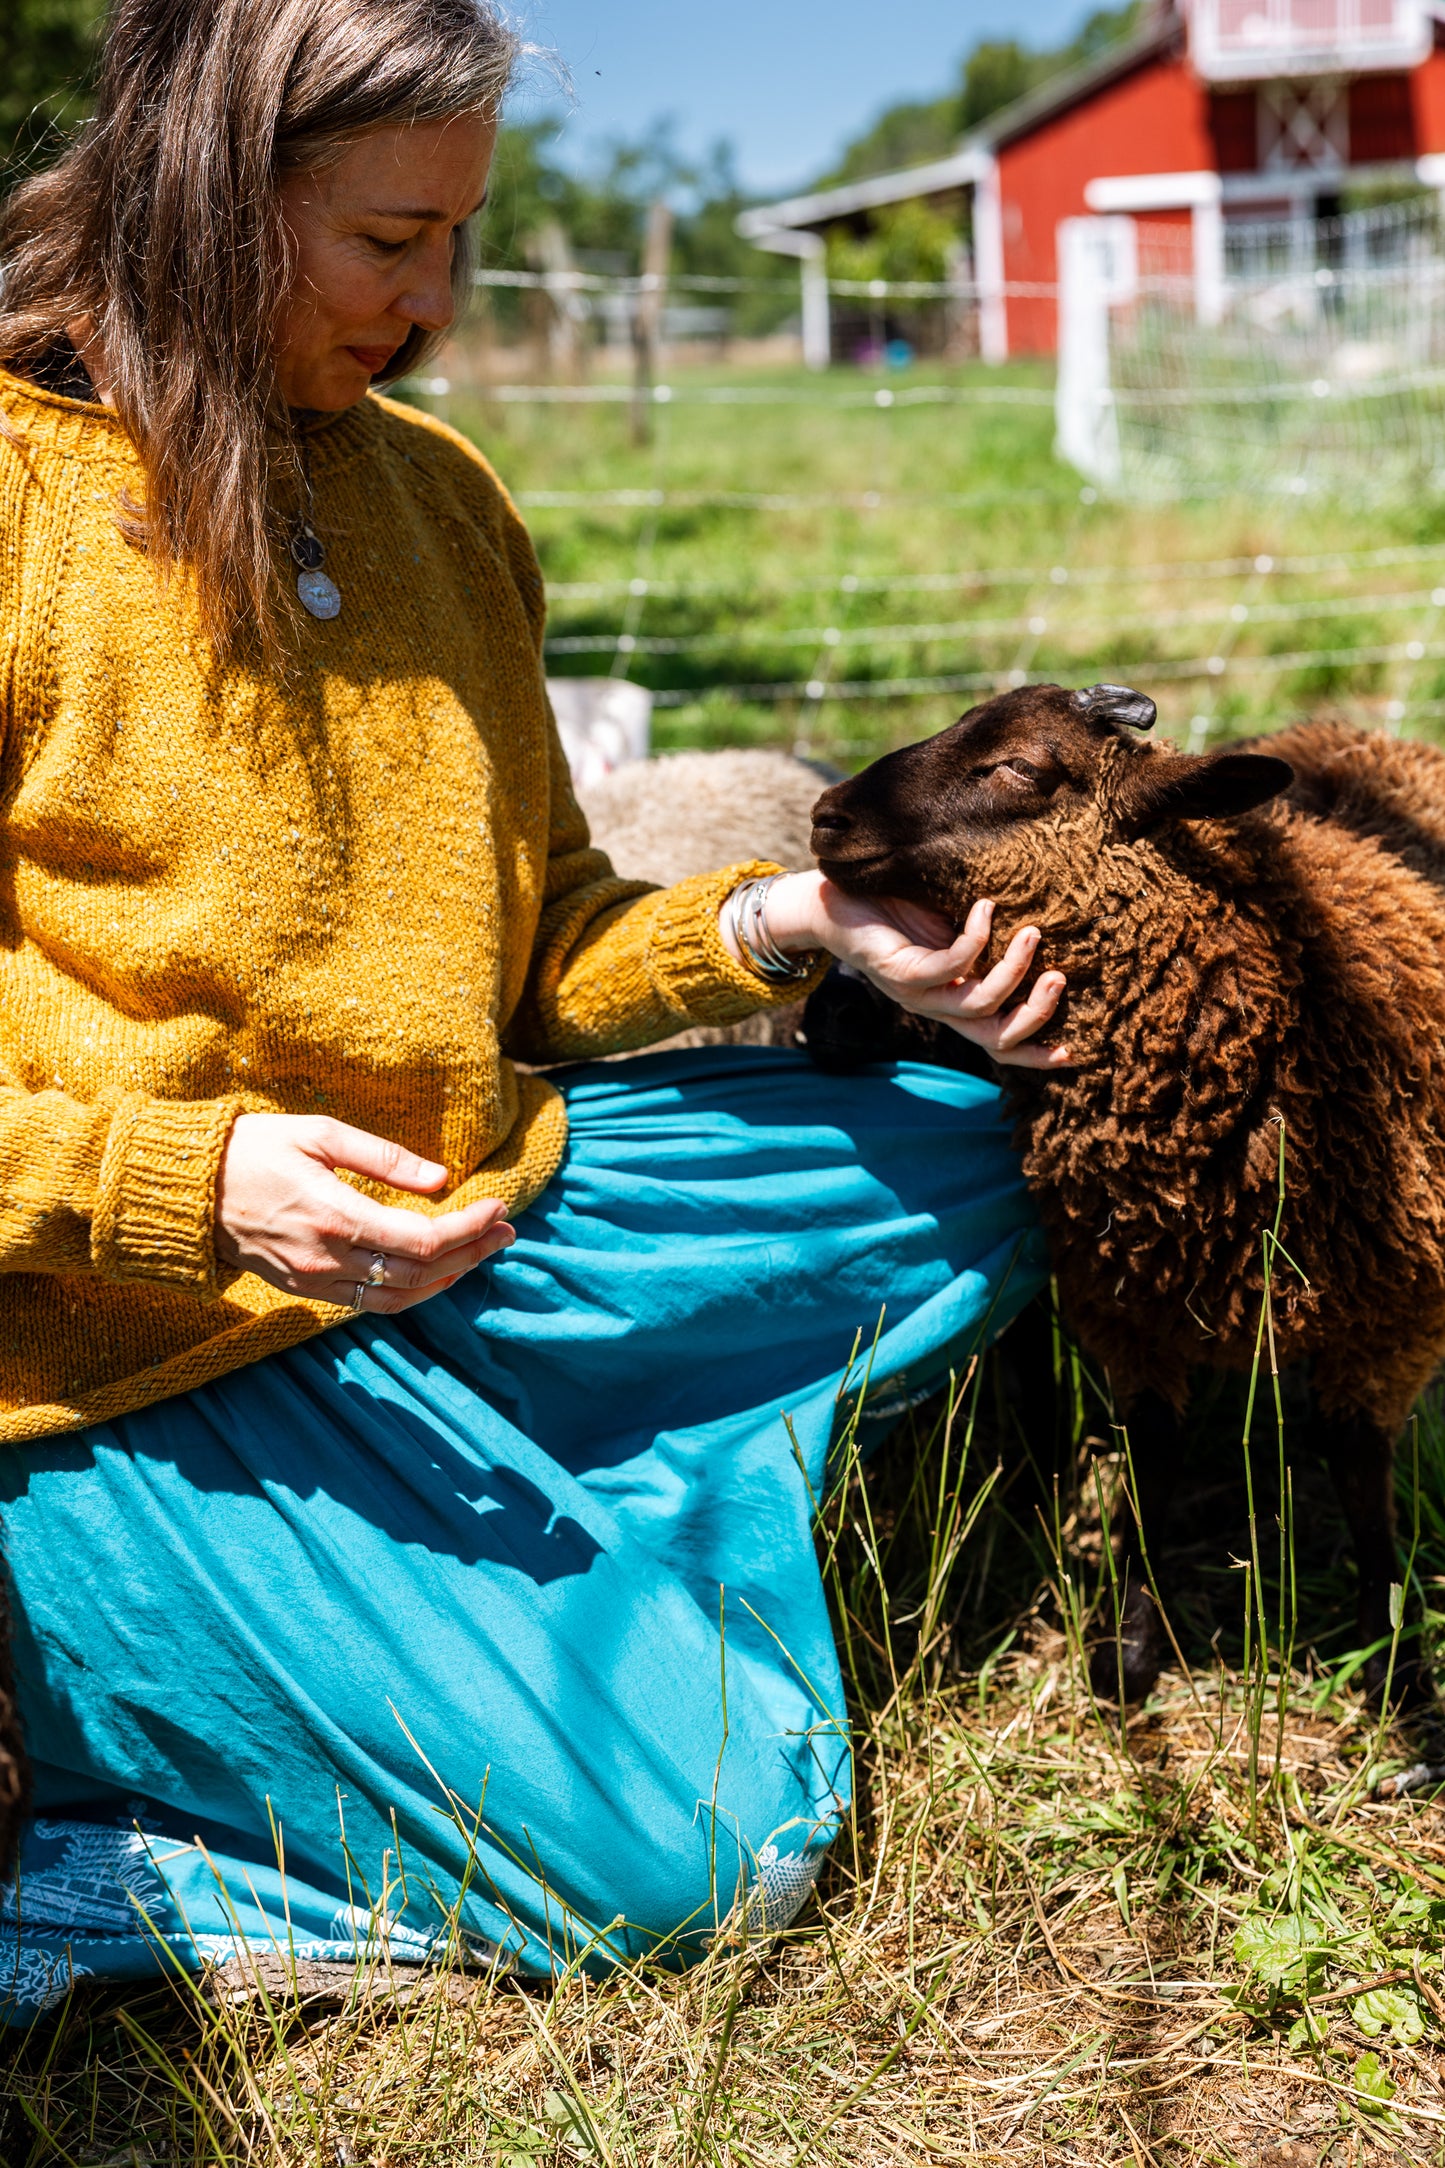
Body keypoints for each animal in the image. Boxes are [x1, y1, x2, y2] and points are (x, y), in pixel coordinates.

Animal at [802, 684, 1445, 1706]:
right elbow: (1151, 1458)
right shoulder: (1129, 1302)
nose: (827, 817)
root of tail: (1348, 730)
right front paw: (1131, 1647)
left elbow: (1359, 1468)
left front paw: (1393, 1662)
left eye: (1022, 767)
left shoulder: (1394, 1314)